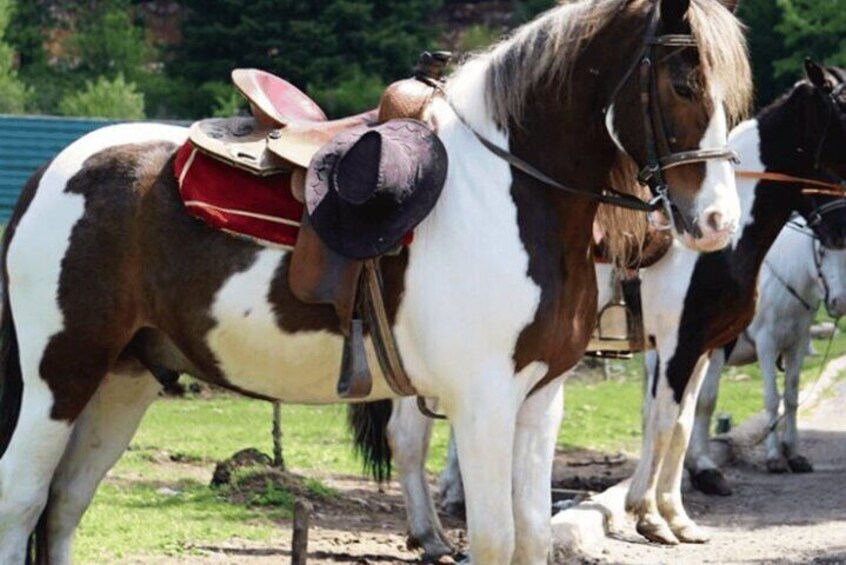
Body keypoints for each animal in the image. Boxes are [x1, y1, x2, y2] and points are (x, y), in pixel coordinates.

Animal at [0, 2, 752, 560]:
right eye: (684, 83)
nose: (718, 221)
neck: (508, 192)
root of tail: (52, 171)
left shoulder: (540, 402)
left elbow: (532, 538)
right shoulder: (483, 402)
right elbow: (494, 539)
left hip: (125, 379)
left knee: (64, 507)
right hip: (59, 375)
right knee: (23, 500)